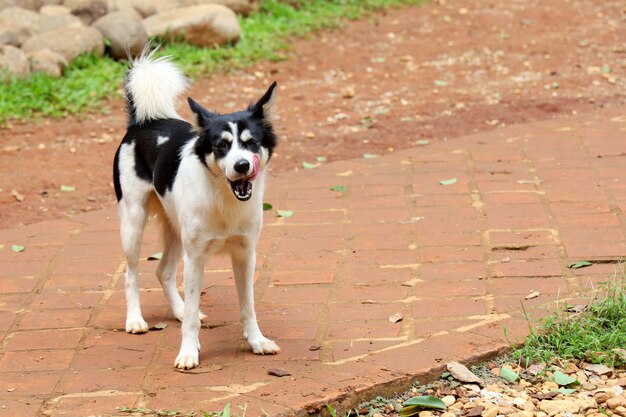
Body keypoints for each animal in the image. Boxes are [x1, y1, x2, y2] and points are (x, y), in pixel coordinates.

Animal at [111, 49, 278, 368]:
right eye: (221, 146)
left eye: (252, 143)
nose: (242, 165)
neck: (223, 198)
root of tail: (143, 123)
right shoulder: (196, 258)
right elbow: (191, 317)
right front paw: (188, 352)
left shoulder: (245, 254)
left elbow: (247, 306)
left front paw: (257, 341)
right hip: (133, 222)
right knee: (131, 273)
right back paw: (135, 320)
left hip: (175, 230)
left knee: (163, 272)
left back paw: (176, 310)